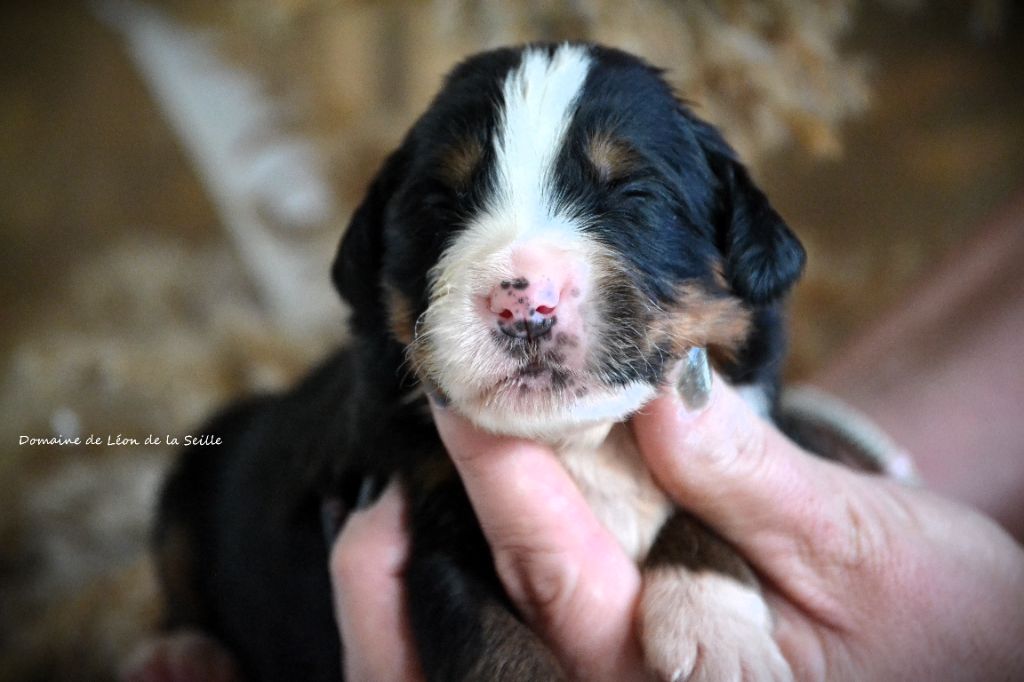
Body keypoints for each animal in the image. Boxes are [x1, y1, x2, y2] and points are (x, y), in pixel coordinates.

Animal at [153, 43, 806, 679]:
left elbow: (706, 517)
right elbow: (500, 650)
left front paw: (718, 631)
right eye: (440, 204)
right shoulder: (431, 524)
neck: (580, 445)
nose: (524, 302)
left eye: (635, 195)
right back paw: (183, 657)